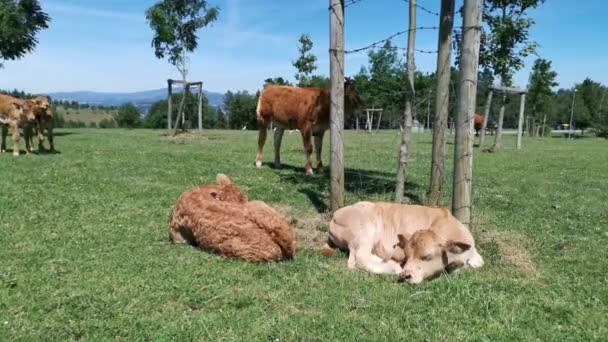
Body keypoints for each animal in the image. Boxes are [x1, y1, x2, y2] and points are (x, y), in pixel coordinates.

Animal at [326, 202, 482, 284]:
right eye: (407, 255)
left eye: (428, 257)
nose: (406, 275)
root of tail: (336, 214)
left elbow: (477, 263)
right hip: (365, 229)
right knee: (358, 258)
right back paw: (393, 266)